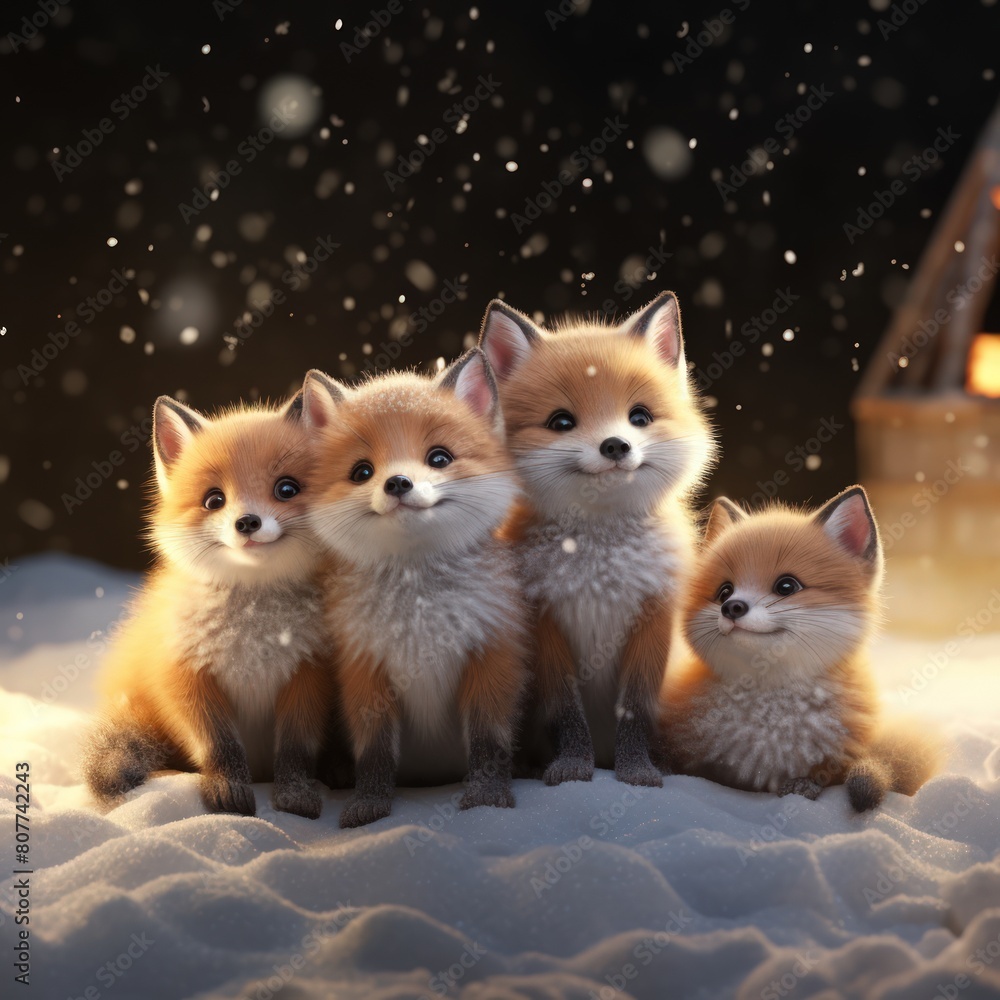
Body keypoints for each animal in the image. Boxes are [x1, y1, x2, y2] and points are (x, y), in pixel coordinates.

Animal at [83, 394, 335, 819]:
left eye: (286, 488)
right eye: (214, 499)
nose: (247, 522)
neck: (252, 635)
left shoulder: (308, 675)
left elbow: (295, 753)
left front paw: (294, 797)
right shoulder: (184, 677)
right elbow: (220, 747)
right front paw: (227, 793)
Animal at [301, 349, 528, 828]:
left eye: (439, 458)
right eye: (362, 471)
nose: (398, 482)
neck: (420, 620)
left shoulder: (493, 661)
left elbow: (490, 745)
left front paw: (488, 800)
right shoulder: (365, 674)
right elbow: (374, 755)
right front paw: (368, 807)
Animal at [478, 291, 716, 787]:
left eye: (639, 417)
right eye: (561, 421)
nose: (615, 445)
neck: (600, 570)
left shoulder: (654, 620)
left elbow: (636, 712)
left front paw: (638, 771)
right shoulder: (546, 625)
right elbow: (567, 713)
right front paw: (572, 768)